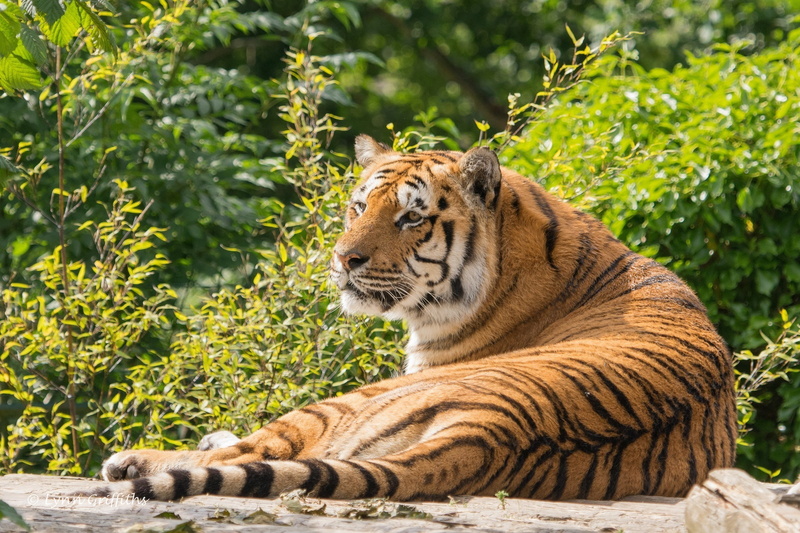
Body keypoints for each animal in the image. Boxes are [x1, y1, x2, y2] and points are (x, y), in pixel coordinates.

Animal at [94, 134, 736, 502]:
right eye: (358, 206)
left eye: (411, 218)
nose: (342, 259)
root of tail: (492, 432)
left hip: (349, 401)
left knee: (249, 454)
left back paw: (131, 460)